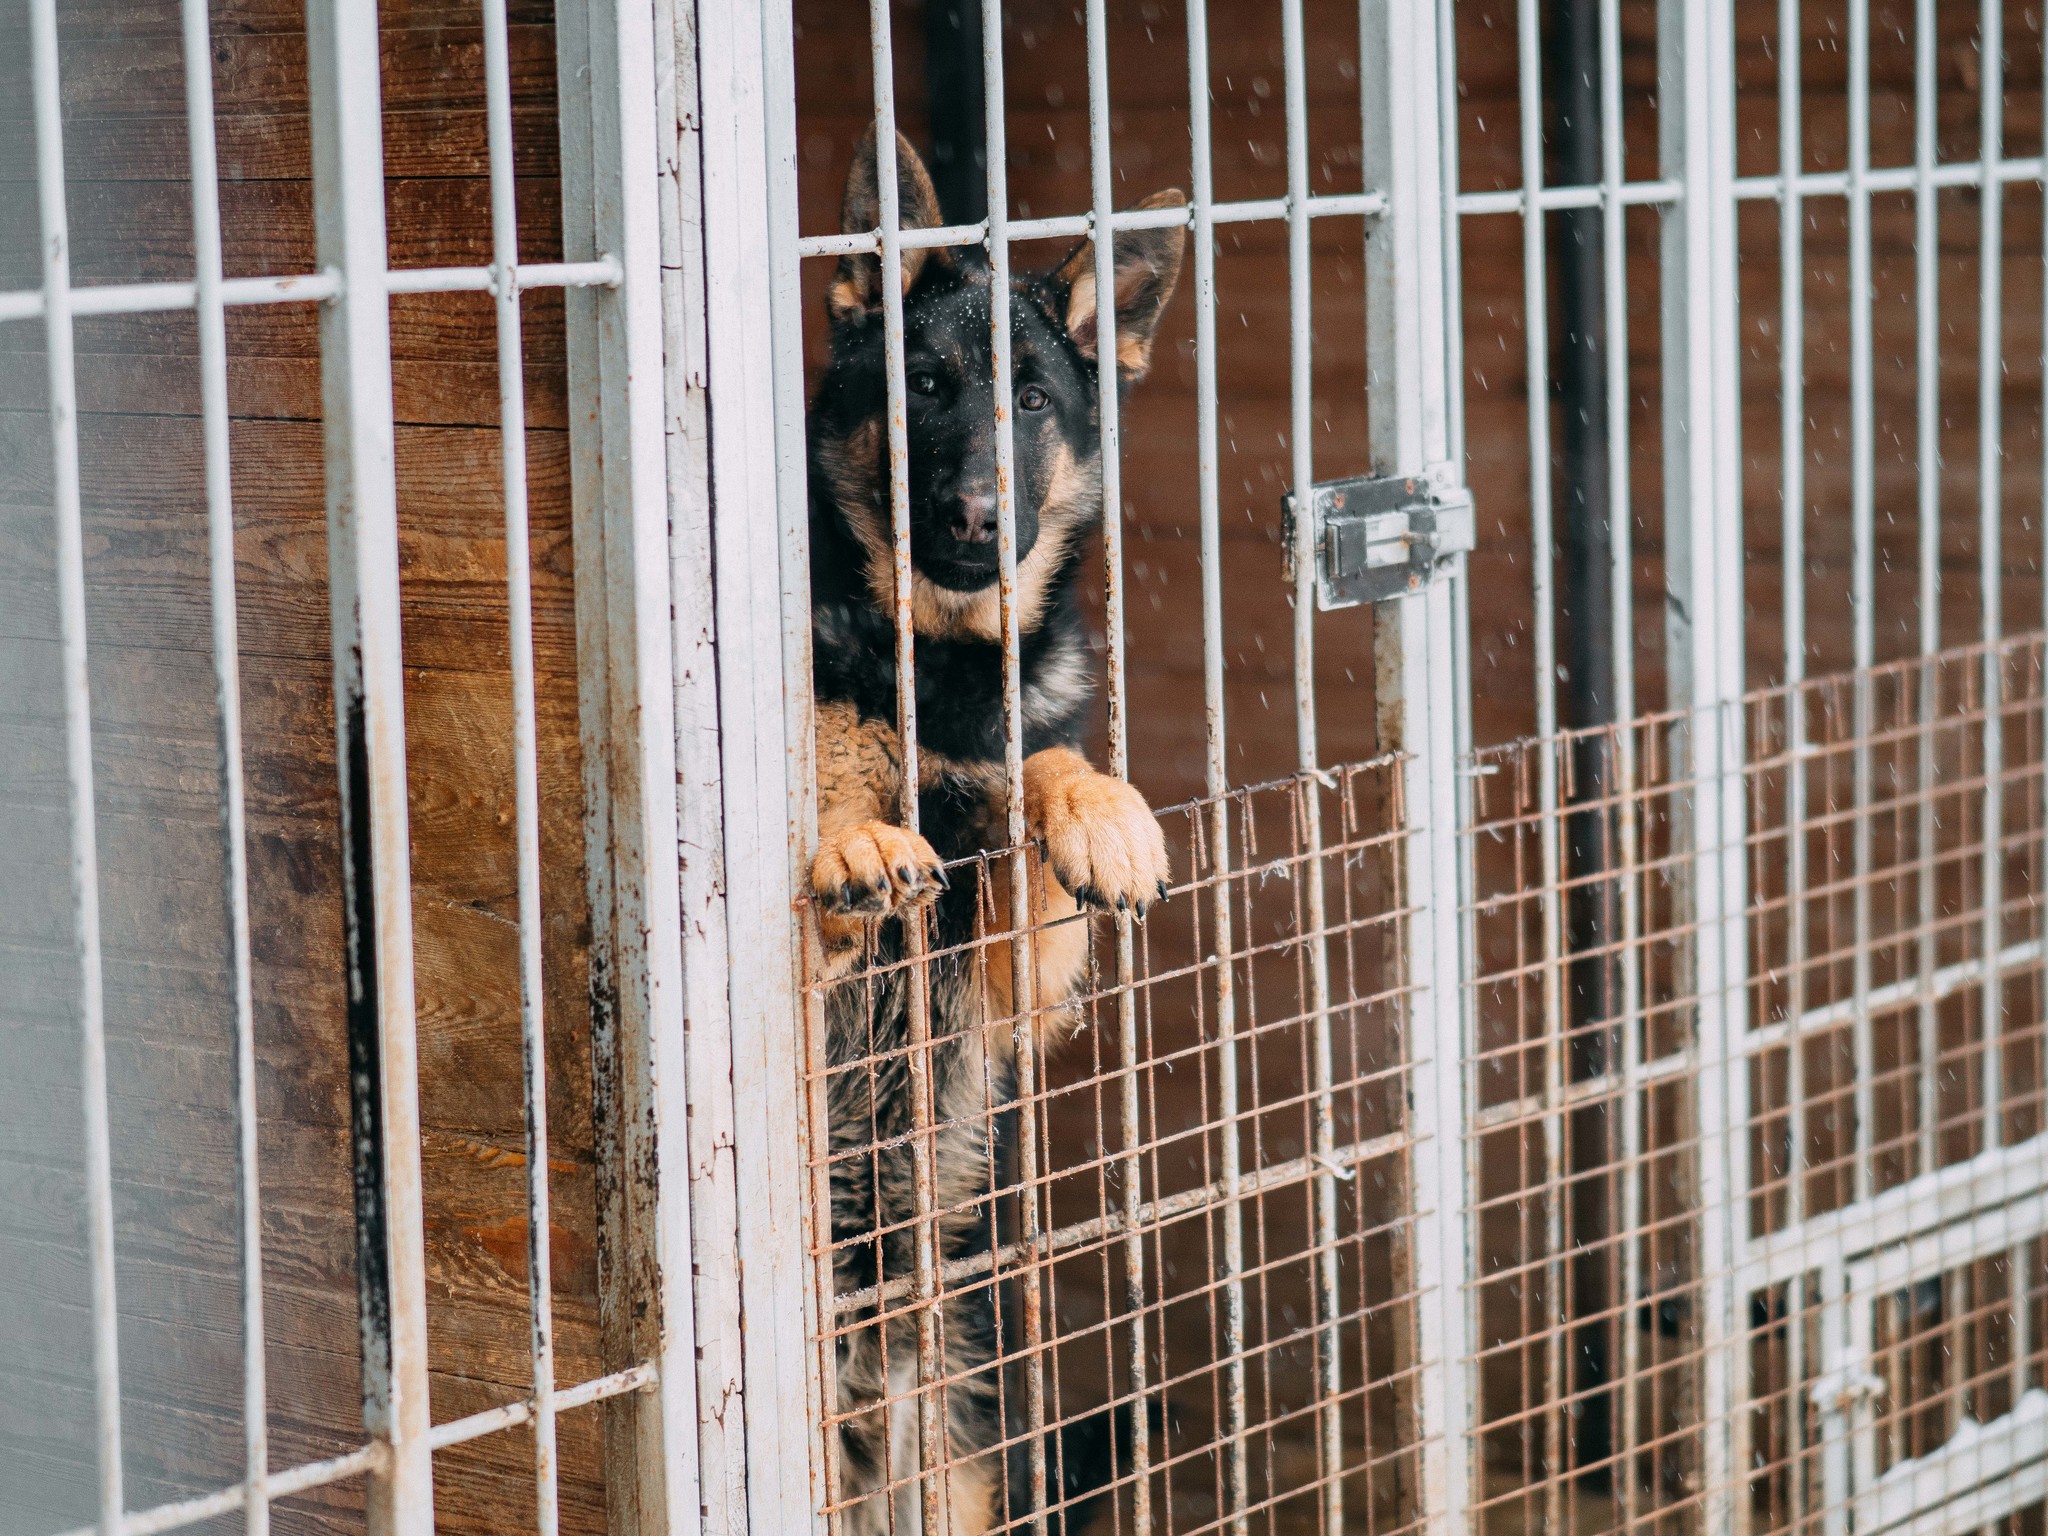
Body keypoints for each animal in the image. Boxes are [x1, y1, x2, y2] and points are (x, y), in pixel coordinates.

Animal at [798, 126, 1187, 1531]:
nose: (971, 513)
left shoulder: (1014, 980)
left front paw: (1100, 815)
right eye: (921, 385)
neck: (946, 667)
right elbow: (834, 816)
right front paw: (859, 844)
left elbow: (1042, 774)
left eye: (1029, 403)